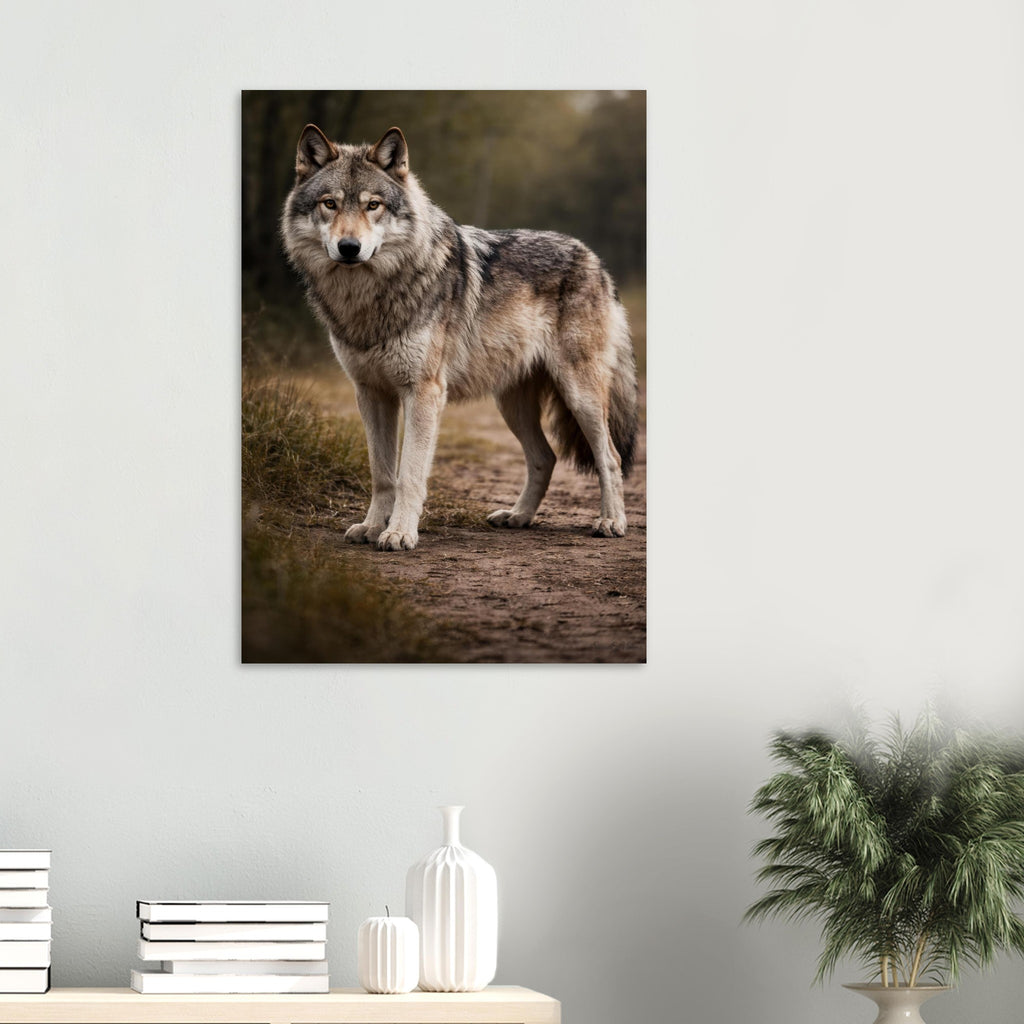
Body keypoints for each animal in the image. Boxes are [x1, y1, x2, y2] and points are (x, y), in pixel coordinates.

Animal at [281, 124, 639, 551]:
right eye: (330, 204)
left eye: (373, 206)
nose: (349, 248)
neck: (370, 297)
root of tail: (594, 259)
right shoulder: (370, 393)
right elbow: (382, 473)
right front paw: (370, 527)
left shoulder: (424, 393)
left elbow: (409, 474)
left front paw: (399, 533)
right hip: (512, 405)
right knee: (545, 457)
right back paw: (518, 516)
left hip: (580, 396)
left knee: (610, 458)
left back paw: (611, 521)